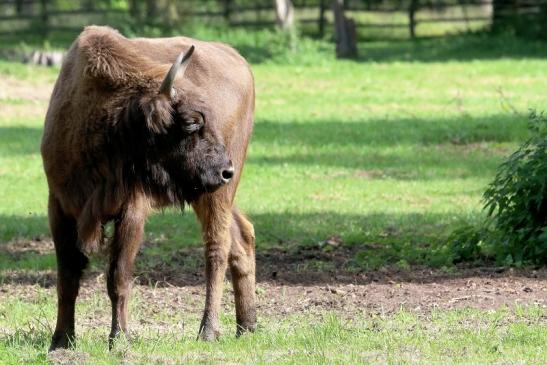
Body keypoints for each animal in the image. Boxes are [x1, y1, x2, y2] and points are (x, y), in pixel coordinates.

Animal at [41, 25, 258, 350]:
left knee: (217, 248)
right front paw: (62, 340)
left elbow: (117, 277)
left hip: (215, 196)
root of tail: (239, 62)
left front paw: (119, 338)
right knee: (241, 236)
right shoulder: (60, 206)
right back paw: (247, 327)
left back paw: (208, 330)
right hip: (205, 191)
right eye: (191, 123)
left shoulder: (131, 211)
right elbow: (67, 276)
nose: (225, 171)